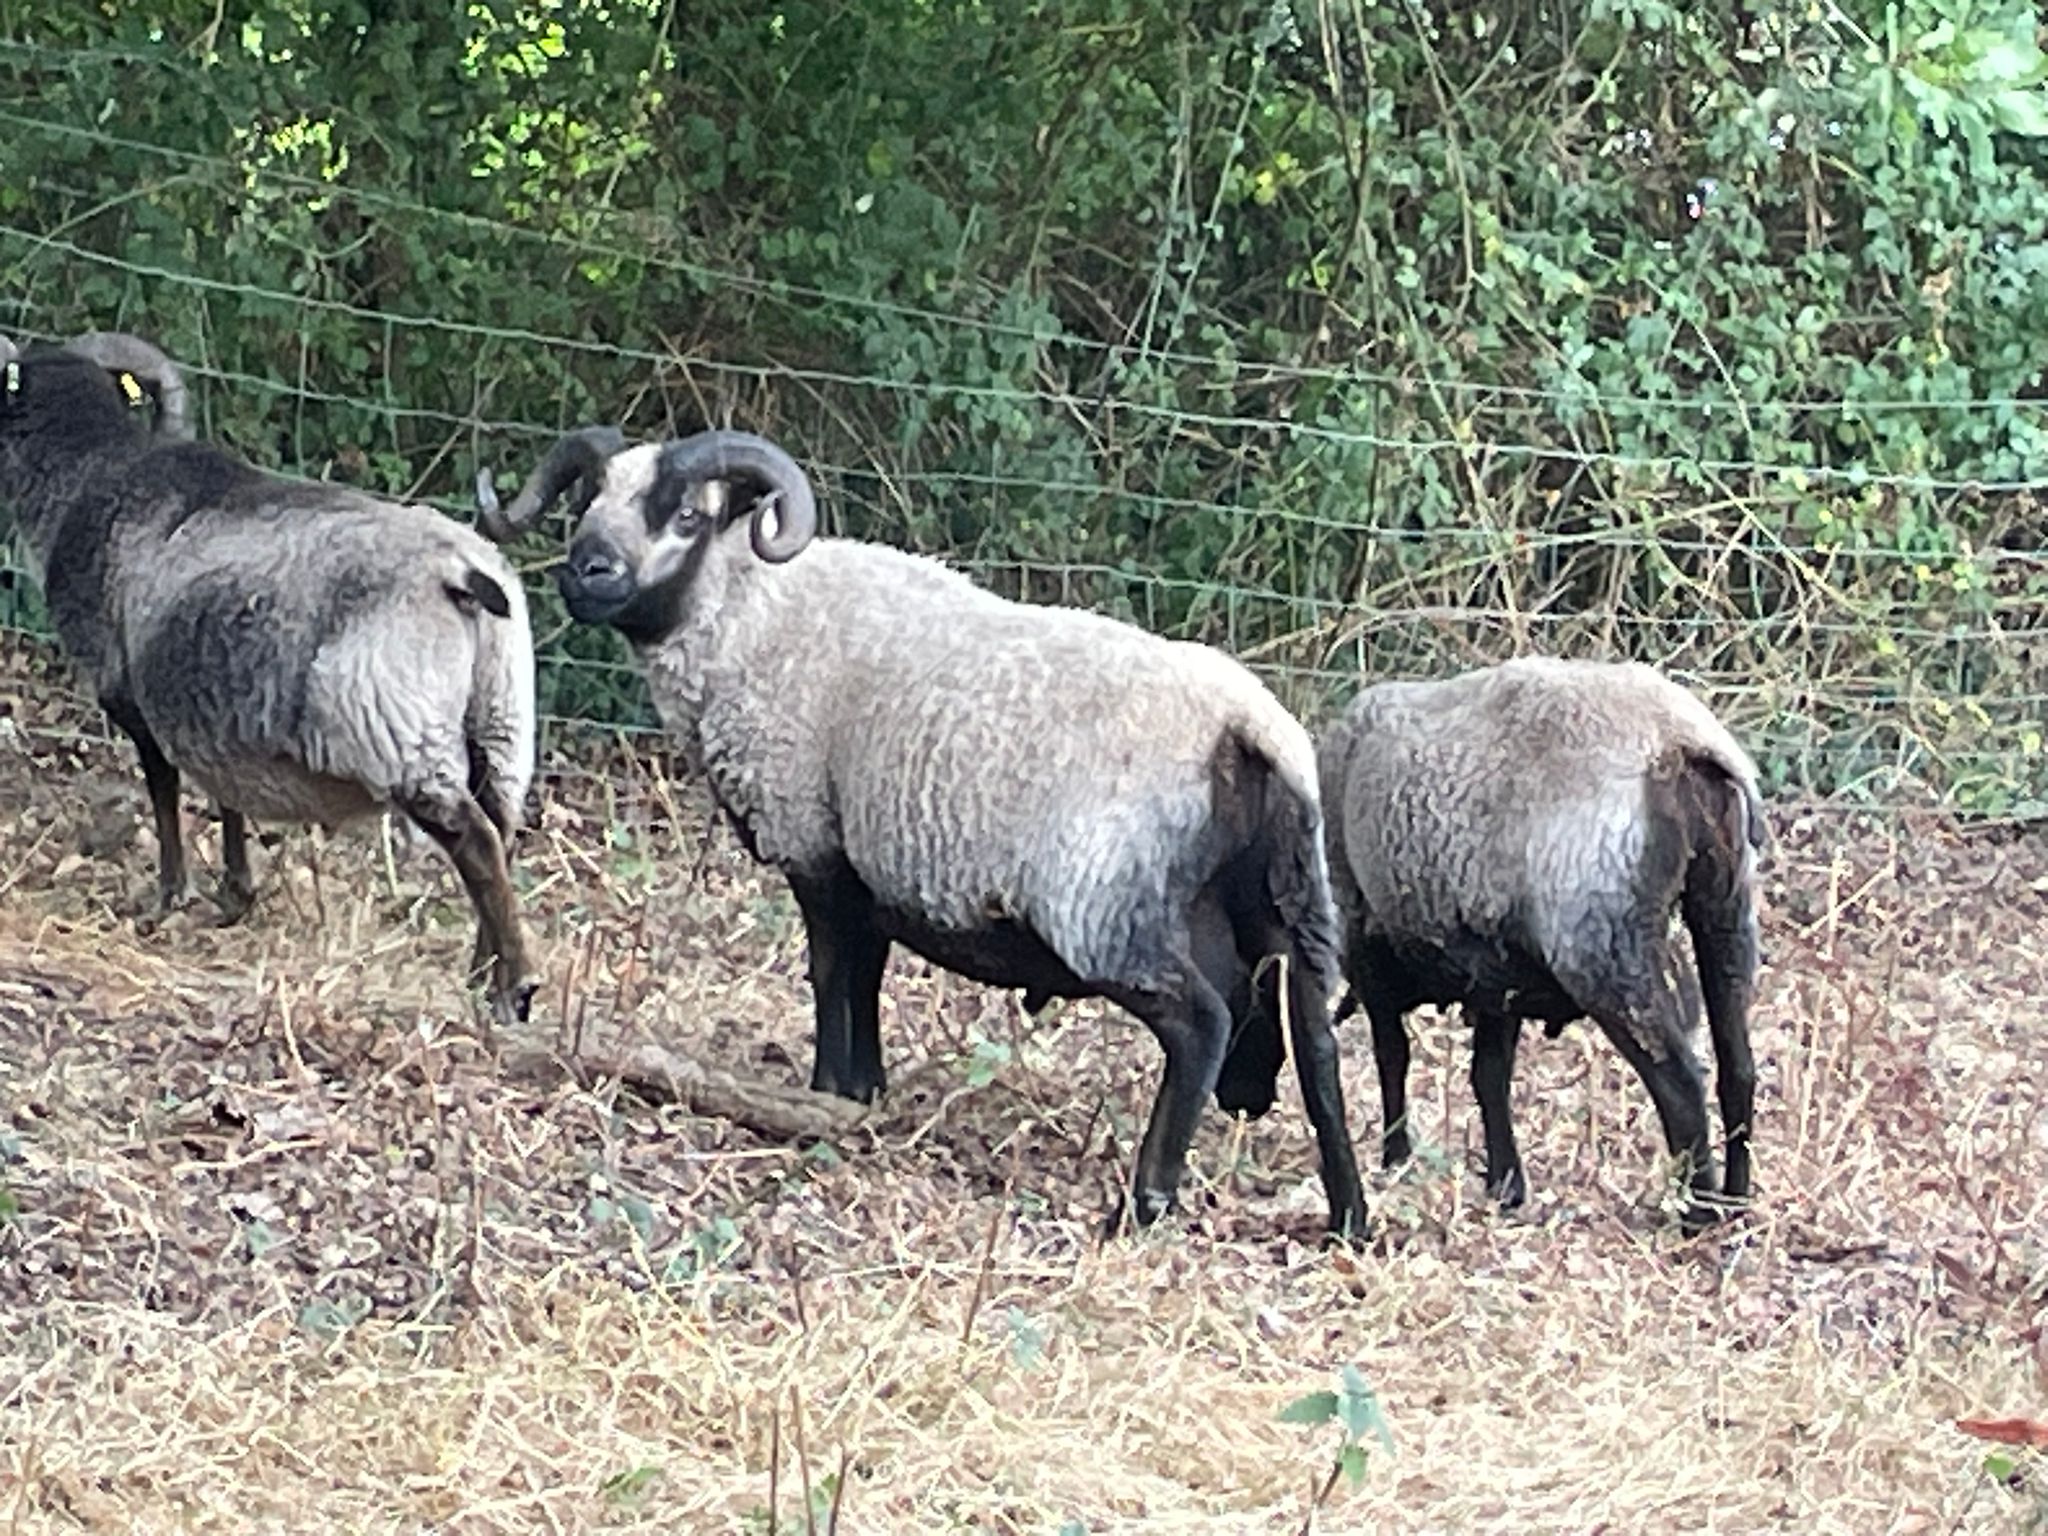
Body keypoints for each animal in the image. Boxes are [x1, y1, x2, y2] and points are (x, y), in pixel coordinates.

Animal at [0, 330, 539, 1027]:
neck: (90, 474)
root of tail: (464, 573)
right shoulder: (209, 708)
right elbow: (225, 792)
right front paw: (235, 895)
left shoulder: (133, 699)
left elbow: (166, 792)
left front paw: (167, 899)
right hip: (502, 725)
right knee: (500, 832)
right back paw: (481, 974)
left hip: (402, 735)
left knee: (474, 841)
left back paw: (511, 989)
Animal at [474, 426, 1370, 1238]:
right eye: (587, 502)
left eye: (688, 514)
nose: (584, 572)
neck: (757, 615)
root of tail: (1248, 724)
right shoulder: (863, 868)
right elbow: (866, 974)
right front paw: (863, 1095)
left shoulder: (814, 847)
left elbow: (832, 974)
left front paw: (824, 1095)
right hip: (1291, 901)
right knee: (1316, 1042)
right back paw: (1348, 1219)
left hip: (1105, 903)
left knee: (1202, 1022)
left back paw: (1143, 1206)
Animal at [1312, 656, 1763, 1233]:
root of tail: (1680, 742)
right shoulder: (1497, 973)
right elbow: (1488, 1074)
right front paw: (1505, 1183)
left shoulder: (1368, 947)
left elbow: (1395, 1056)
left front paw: (1397, 1157)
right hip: (1726, 912)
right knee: (1738, 1067)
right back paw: (1737, 1201)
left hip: (1602, 944)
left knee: (1680, 1080)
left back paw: (1698, 1212)